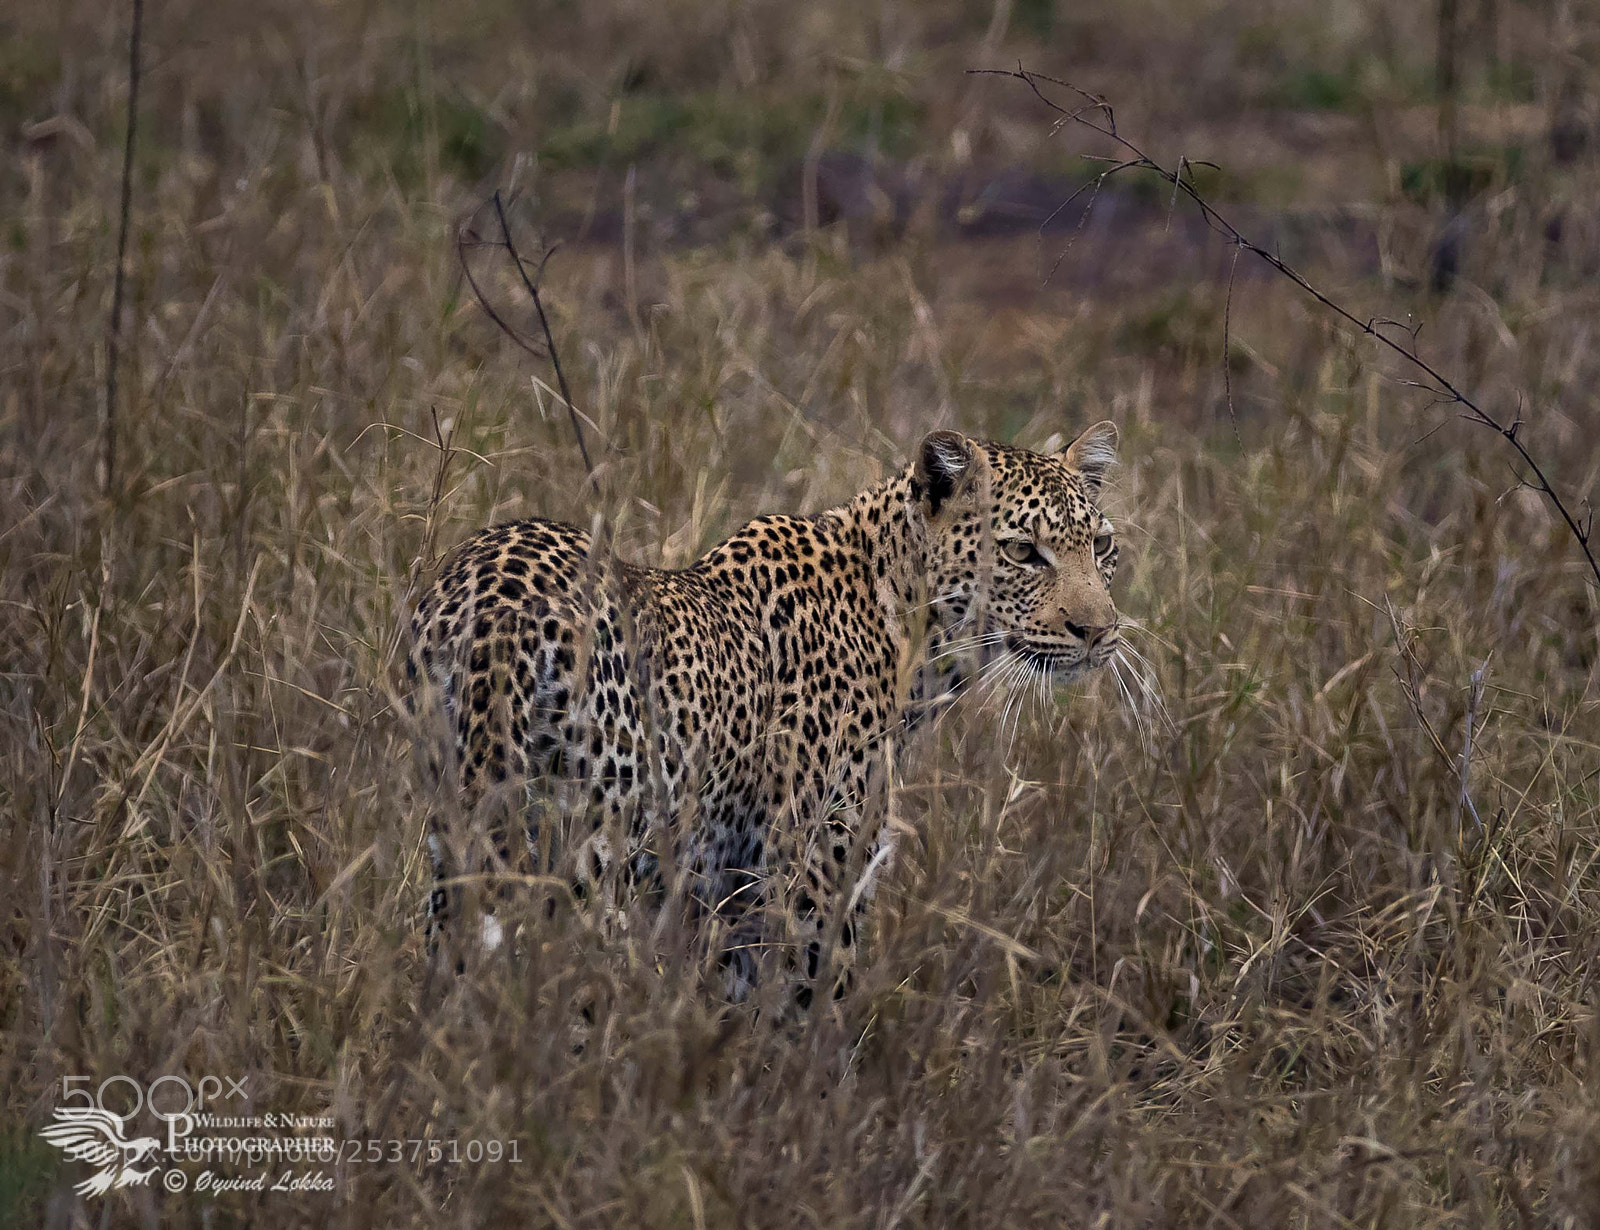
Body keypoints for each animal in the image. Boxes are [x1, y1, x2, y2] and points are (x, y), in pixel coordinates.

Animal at [405, 422, 1122, 1003]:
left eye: (1102, 546)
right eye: (1022, 551)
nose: (1098, 631)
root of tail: (496, 604)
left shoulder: (726, 897)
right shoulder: (813, 882)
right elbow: (801, 1022)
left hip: (456, 829)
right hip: (591, 853)